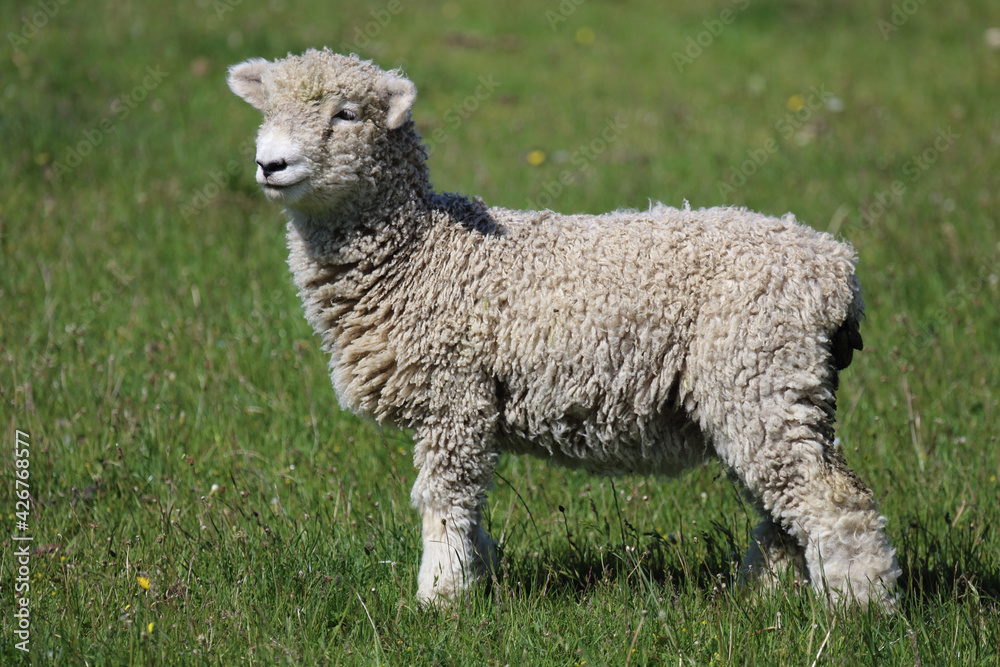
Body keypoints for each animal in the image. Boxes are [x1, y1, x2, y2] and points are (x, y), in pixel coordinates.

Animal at [227, 49, 901, 609]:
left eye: (345, 114)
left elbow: (445, 502)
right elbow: (469, 509)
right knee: (776, 508)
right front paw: (476, 578)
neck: (424, 253)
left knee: (833, 499)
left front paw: (439, 598)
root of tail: (837, 269)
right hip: (760, 391)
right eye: (269, 110)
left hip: (759, 373)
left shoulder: (455, 395)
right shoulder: (466, 403)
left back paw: (859, 609)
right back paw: (765, 597)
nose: (270, 164)